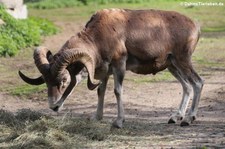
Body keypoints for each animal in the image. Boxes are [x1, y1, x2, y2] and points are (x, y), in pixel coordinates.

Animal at [18, 8, 204, 128]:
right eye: (46, 81)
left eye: (64, 80)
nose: (53, 106)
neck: (100, 34)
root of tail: (195, 26)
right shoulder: (105, 71)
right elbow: (101, 91)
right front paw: (97, 118)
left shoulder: (118, 66)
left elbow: (117, 91)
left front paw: (118, 122)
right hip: (172, 66)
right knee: (187, 86)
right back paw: (175, 117)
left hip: (183, 61)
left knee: (197, 83)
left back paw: (188, 119)